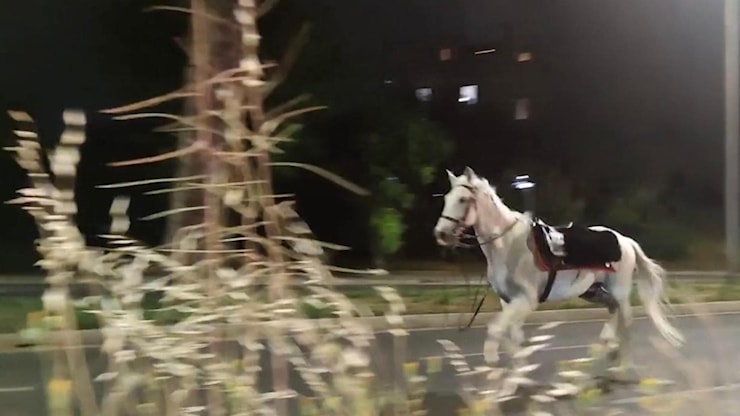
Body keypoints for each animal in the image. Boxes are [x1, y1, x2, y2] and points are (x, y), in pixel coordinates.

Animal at [432, 166, 684, 380]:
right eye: (446, 199)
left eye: (463, 199)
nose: (441, 234)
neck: (509, 244)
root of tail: (625, 240)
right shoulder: (509, 302)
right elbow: (512, 337)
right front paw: (518, 371)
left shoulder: (526, 300)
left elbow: (496, 330)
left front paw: (494, 362)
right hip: (593, 292)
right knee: (613, 312)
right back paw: (610, 349)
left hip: (619, 291)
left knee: (626, 323)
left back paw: (622, 366)